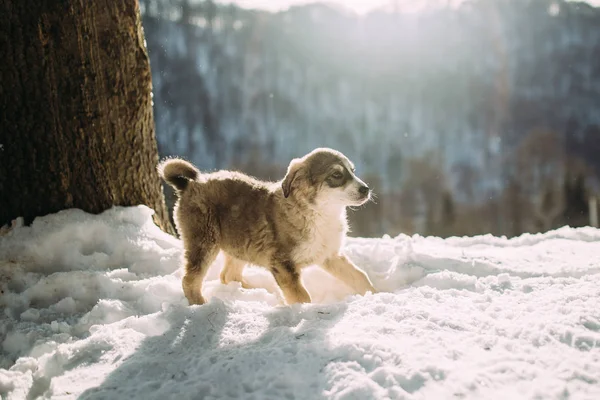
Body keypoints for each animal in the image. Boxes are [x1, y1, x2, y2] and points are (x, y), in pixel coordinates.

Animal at [157, 148, 378, 306]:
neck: (319, 214)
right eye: (336, 175)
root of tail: (190, 184)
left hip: (240, 243)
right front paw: (306, 313)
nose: (366, 189)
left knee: (228, 275)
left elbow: (360, 276)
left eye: (352, 171)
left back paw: (252, 292)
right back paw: (201, 305)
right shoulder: (283, 264)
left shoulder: (330, 255)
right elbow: (301, 296)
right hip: (204, 242)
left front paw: (376, 294)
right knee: (190, 280)